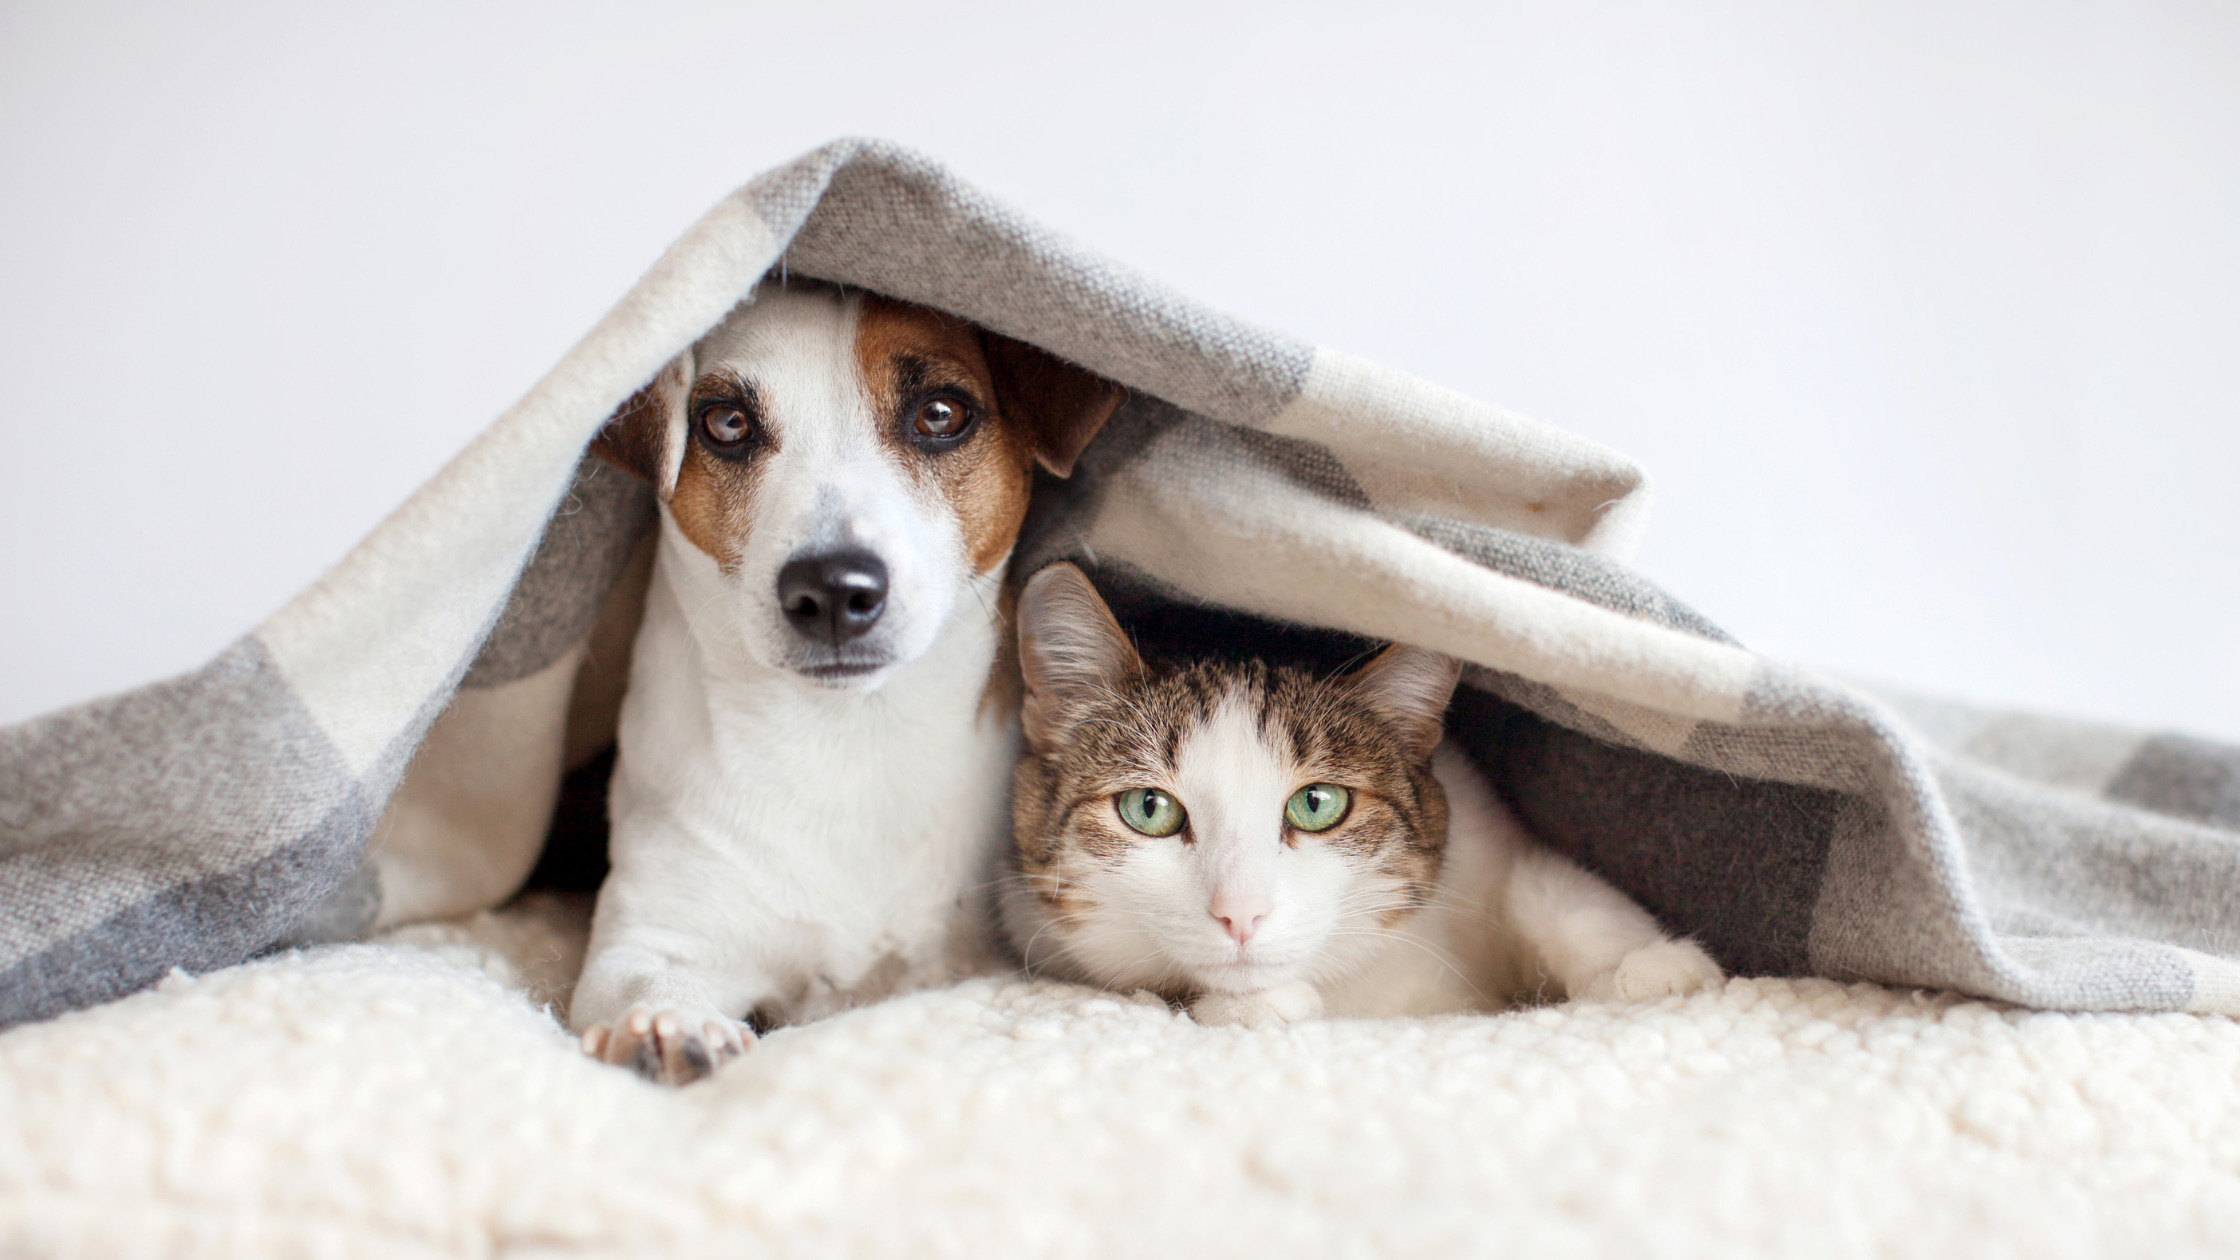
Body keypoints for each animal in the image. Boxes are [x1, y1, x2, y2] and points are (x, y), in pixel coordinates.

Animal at [560, 274, 1120, 1080]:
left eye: (941, 413)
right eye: (725, 422)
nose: (829, 589)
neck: (847, 740)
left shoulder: (958, 957)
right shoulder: (651, 934)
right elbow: (646, 979)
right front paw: (667, 1026)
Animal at [1008, 564, 1720, 1026]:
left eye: (1317, 804)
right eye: (1148, 809)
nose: (1242, 913)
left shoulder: (1483, 826)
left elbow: (1545, 884)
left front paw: (1651, 970)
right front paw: (1256, 1005)